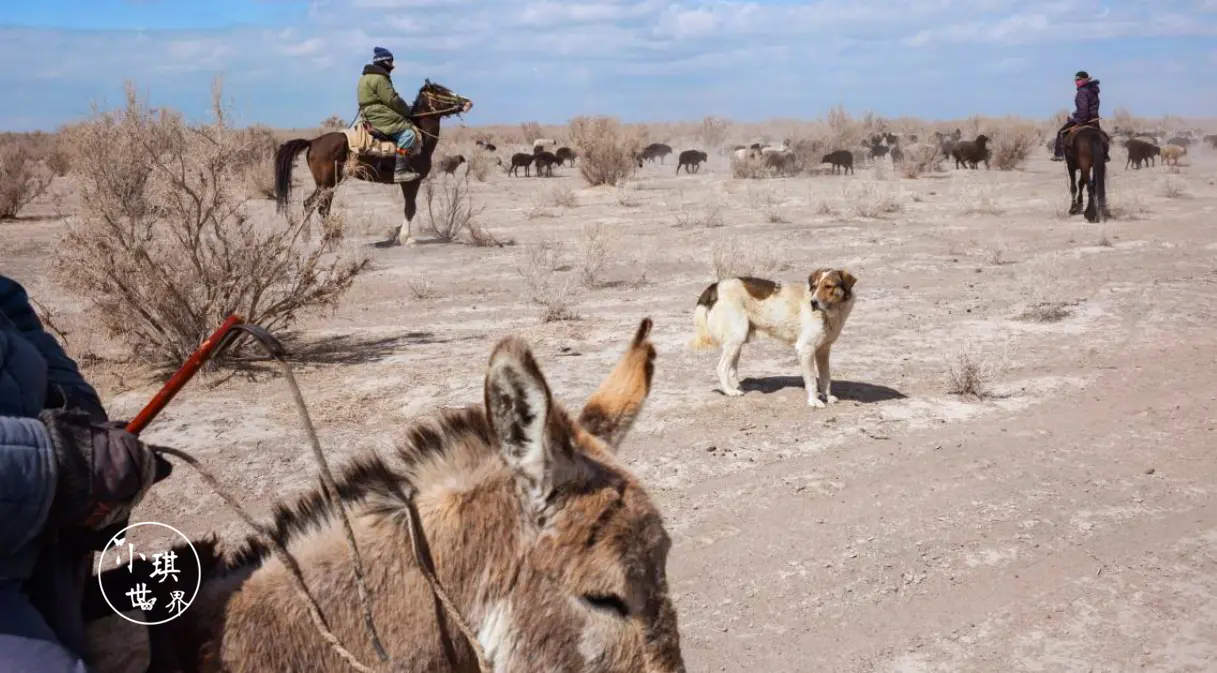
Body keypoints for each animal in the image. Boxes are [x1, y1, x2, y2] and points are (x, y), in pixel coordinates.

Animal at [273, 79, 472, 247]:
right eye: (441, 91)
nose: (467, 102)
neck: (421, 136)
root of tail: (313, 142)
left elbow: (409, 208)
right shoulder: (411, 181)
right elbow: (410, 208)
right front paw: (405, 238)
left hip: (326, 184)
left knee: (313, 204)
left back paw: (311, 238)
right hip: (328, 183)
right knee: (320, 206)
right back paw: (327, 240)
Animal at [691, 268, 861, 406]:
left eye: (828, 286)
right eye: (814, 286)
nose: (813, 303)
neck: (831, 313)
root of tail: (715, 286)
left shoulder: (823, 351)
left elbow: (826, 378)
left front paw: (828, 397)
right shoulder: (805, 349)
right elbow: (812, 380)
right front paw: (814, 401)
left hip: (737, 340)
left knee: (731, 369)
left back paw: (738, 388)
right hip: (736, 338)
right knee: (721, 368)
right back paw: (730, 392)